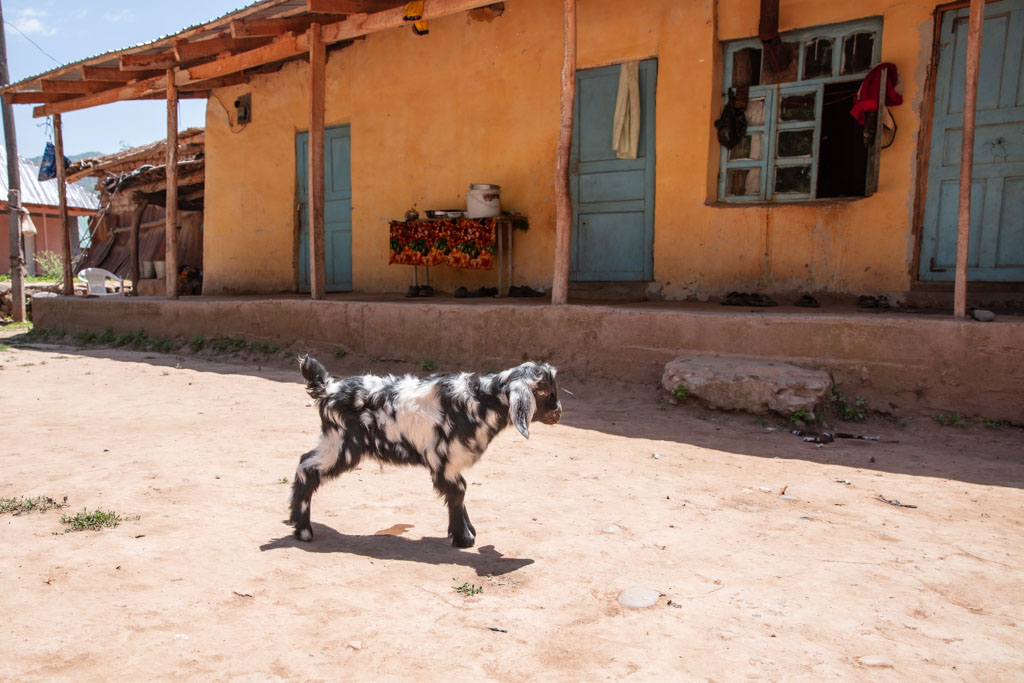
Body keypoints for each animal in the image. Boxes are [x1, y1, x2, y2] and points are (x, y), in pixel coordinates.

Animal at [290, 356, 561, 548]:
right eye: (542, 392)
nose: (558, 412)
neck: (479, 402)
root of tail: (329, 389)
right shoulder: (444, 461)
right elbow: (458, 492)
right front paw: (463, 538)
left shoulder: (451, 463)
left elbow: (460, 491)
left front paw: (467, 531)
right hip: (342, 445)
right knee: (307, 468)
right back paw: (303, 531)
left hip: (333, 442)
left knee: (305, 461)